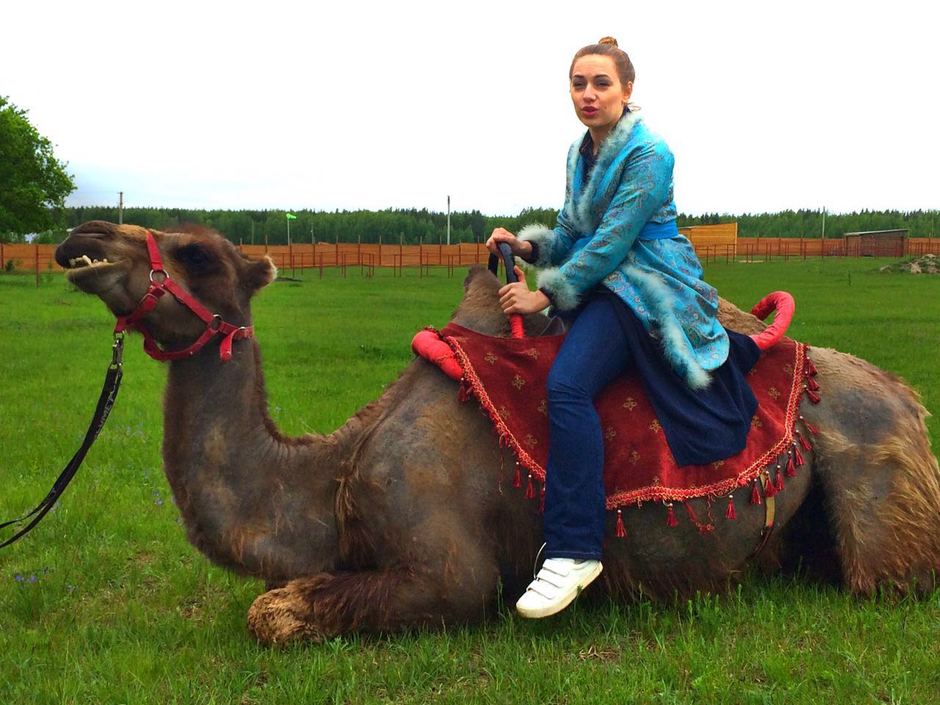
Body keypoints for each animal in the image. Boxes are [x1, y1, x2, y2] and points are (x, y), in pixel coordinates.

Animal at [54, 221, 940, 645]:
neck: (330, 478)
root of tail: (908, 396)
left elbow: (270, 610)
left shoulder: (447, 567)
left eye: (198, 253)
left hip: (877, 477)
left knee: (886, 575)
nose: (80, 239)